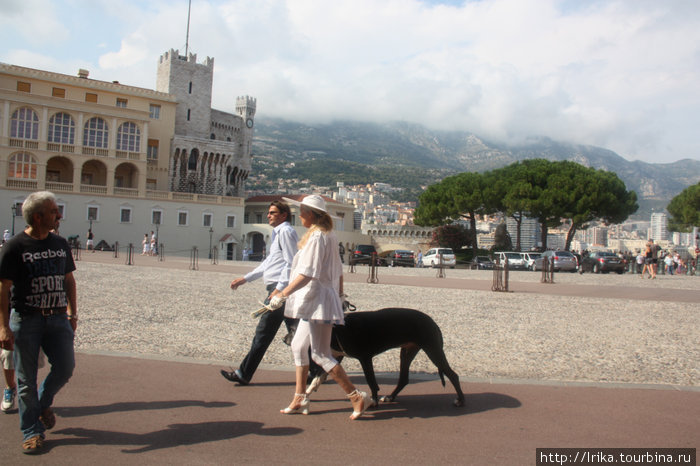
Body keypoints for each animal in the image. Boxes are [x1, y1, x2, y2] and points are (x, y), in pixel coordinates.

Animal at [312, 310, 464, 408]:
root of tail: (432, 322)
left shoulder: (365, 357)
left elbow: (371, 381)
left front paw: (373, 401)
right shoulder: (337, 356)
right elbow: (319, 376)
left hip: (433, 350)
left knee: (452, 375)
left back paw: (460, 400)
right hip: (407, 352)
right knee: (403, 379)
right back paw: (390, 397)